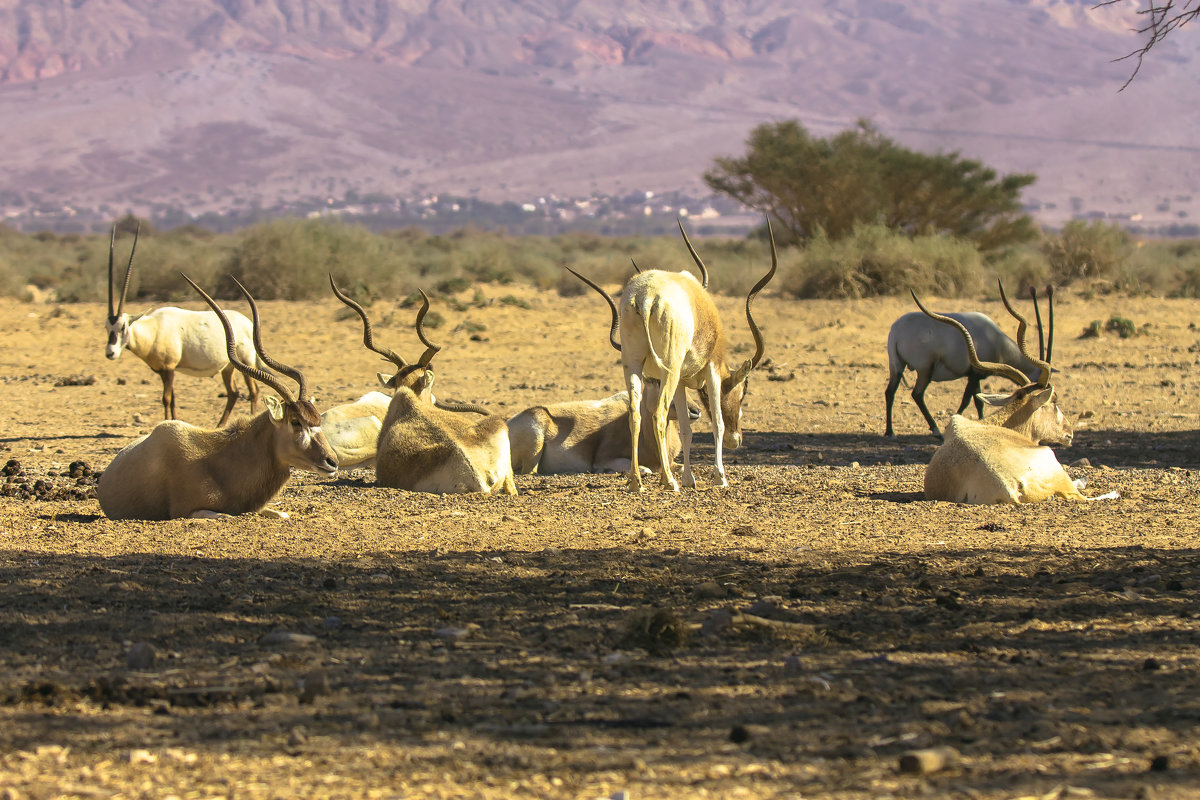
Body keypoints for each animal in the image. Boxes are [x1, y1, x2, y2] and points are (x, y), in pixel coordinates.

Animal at [95, 278, 340, 522]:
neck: (218, 459)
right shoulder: (188, 511)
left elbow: (283, 514)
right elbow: (227, 516)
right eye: (295, 422)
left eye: (317, 420)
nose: (332, 462)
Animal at [104, 225, 261, 424]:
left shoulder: (169, 369)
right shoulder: (163, 371)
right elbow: (173, 399)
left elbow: (166, 398)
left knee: (253, 391)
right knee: (233, 393)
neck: (153, 330)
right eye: (106, 327)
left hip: (246, 362)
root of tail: (247, 322)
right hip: (228, 367)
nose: (110, 353)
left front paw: (166, 421)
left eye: (123, 327)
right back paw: (220, 425)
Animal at [571, 220, 777, 494]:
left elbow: (687, 429)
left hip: (634, 364)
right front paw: (719, 478)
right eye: (743, 392)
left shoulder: (680, 380)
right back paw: (669, 481)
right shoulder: (711, 369)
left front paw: (689, 479)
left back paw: (636, 482)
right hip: (669, 365)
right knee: (658, 413)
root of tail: (645, 297)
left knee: (635, 413)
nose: (737, 440)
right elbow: (717, 423)